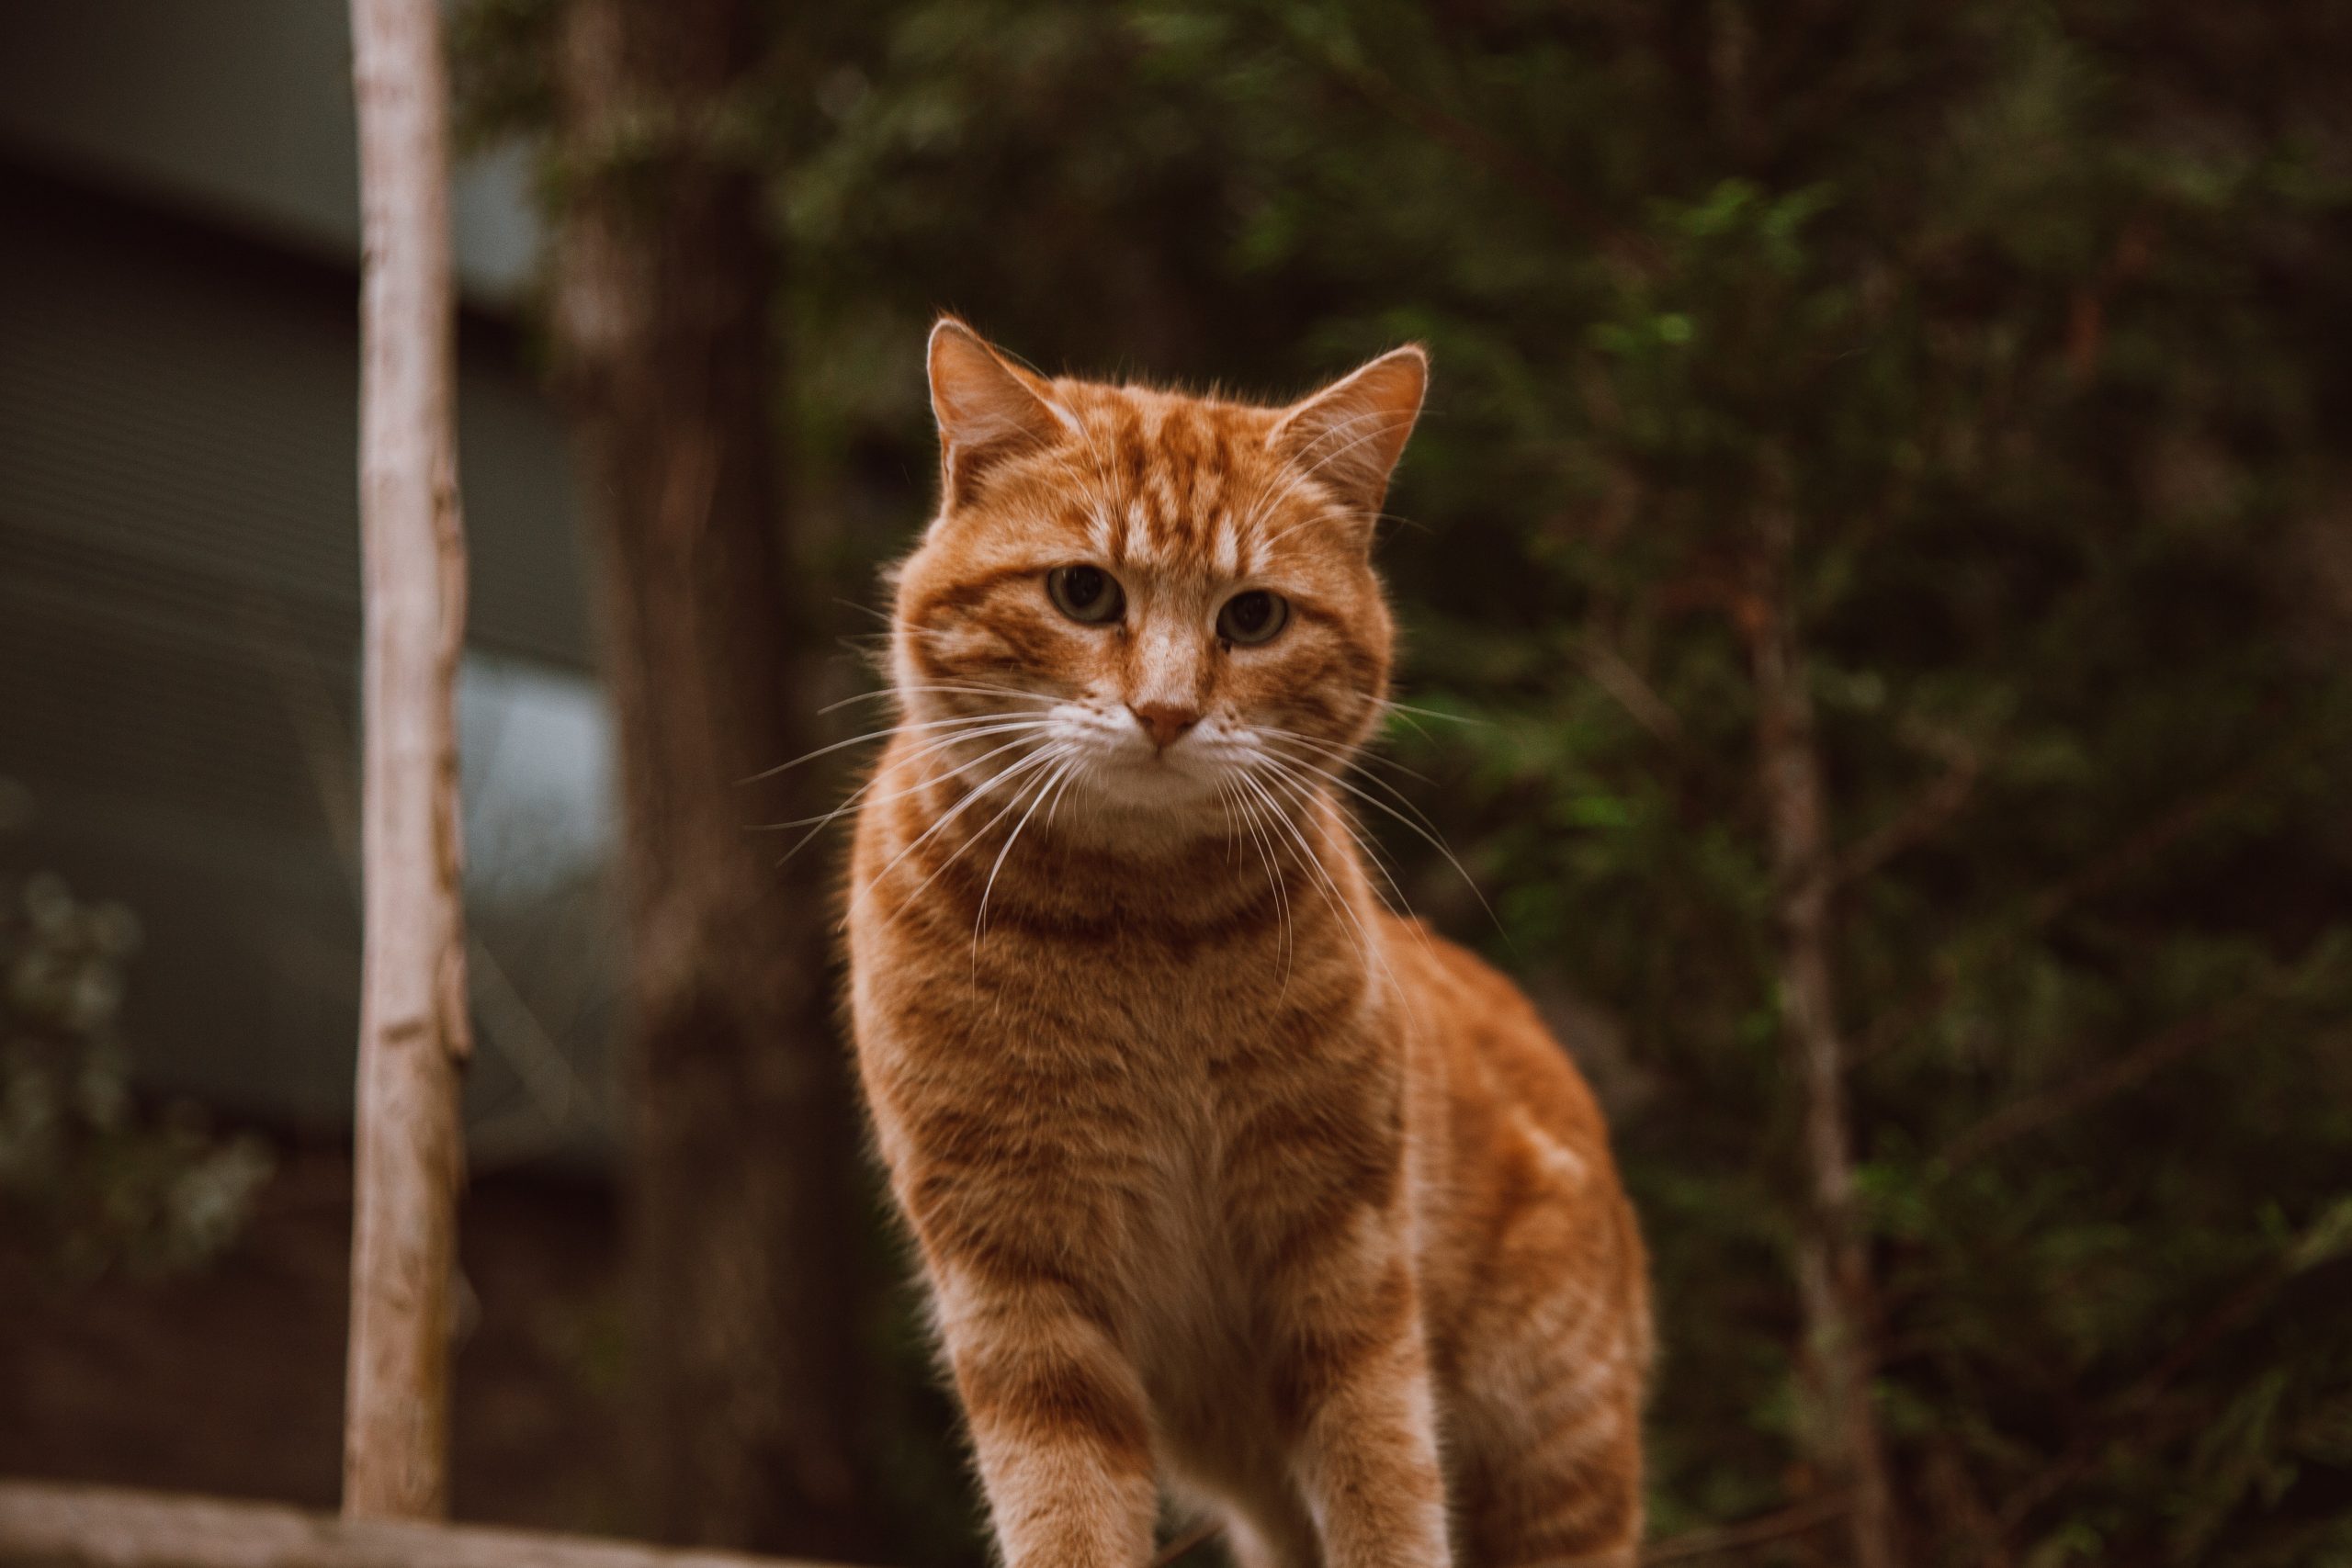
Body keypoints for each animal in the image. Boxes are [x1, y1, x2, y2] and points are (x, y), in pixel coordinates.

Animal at [851, 321, 1656, 1568]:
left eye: (1253, 619)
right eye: (1083, 593)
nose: (1167, 712)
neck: (1135, 929)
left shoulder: (1344, 1257)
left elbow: (1384, 1484)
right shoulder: (1019, 1281)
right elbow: (1067, 1510)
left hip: (1555, 1455)